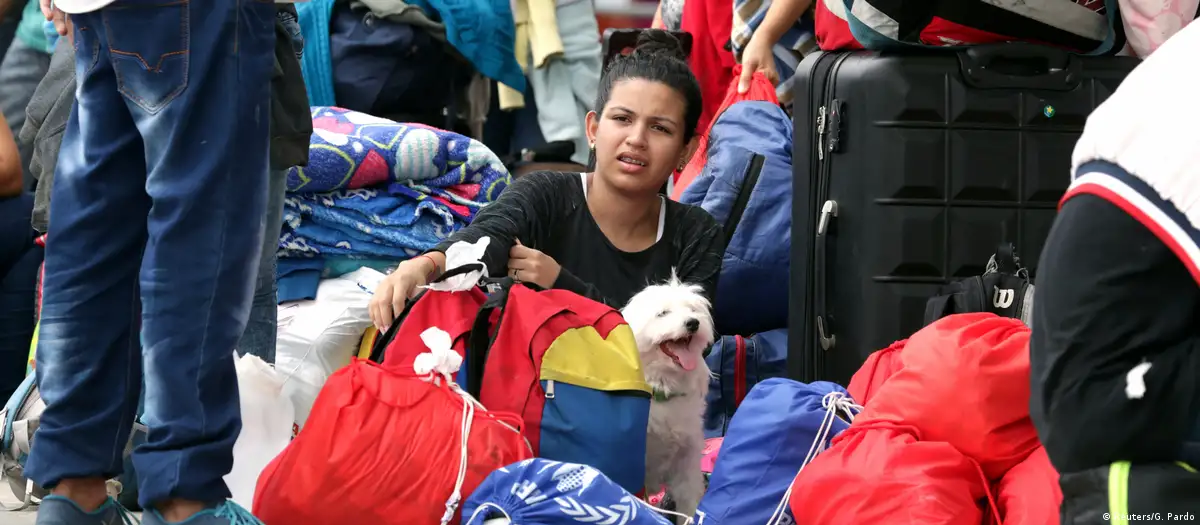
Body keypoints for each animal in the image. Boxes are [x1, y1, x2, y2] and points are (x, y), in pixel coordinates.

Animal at [622, 274, 716, 519]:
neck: (663, 392)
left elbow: (689, 505)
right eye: (662, 313)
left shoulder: (687, 464)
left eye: (693, 309)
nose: (693, 323)